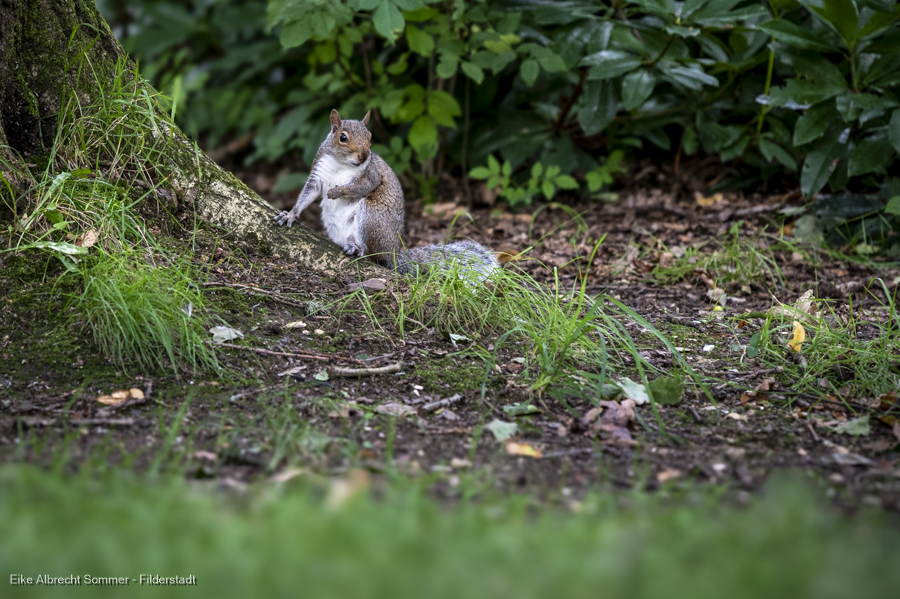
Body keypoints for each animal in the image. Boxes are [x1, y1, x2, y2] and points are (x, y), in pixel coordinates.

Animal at [274, 109, 500, 282]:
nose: (364, 155)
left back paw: (357, 249)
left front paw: (339, 191)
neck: (341, 163)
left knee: (375, 255)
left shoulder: (372, 173)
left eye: (370, 137)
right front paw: (290, 215)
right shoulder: (318, 173)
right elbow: (307, 194)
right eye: (343, 137)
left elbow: (363, 187)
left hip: (372, 217)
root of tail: (394, 253)